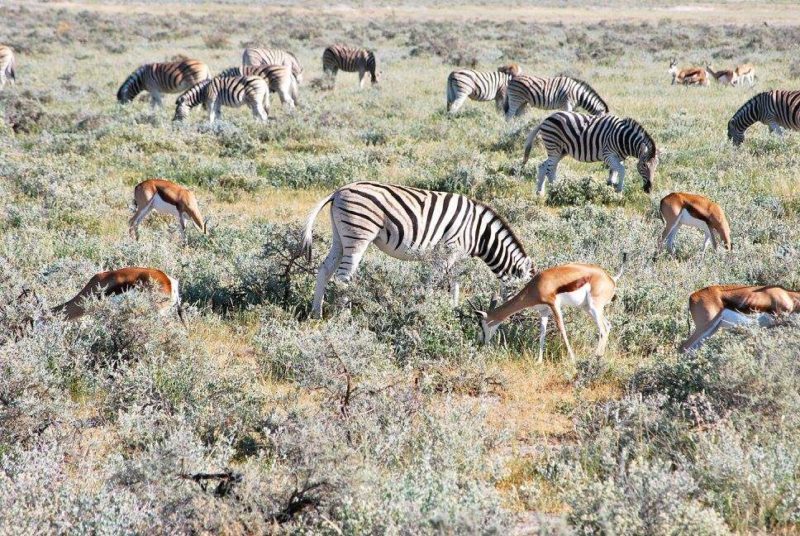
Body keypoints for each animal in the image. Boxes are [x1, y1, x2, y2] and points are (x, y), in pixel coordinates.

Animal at [300, 182, 532, 316]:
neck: (479, 234)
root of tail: (338, 191)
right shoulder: (448, 252)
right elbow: (432, 283)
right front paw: (424, 309)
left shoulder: (458, 257)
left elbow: (455, 283)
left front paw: (453, 309)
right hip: (358, 235)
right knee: (343, 277)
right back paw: (344, 315)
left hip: (340, 237)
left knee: (325, 269)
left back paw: (316, 313)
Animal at [476, 256, 624, 364]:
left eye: (481, 324)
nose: (482, 342)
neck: (536, 286)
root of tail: (611, 278)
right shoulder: (544, 311)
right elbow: (542, 333)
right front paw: (539, 361)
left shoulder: (554, 305)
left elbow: (562, 329)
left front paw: (572, 359)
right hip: (588, 308)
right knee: (608, 326)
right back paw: (599, 358)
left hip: (594, 308)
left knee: (603, 330)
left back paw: (594, 359)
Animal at [520, 111, 660, 197]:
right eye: (644, 165)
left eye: (656, 167)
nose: (649, 189)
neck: (623, 138)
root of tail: (546, 118)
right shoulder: (608, 154)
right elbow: (622, 170)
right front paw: (619, 191)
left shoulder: (617, 158)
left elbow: (614, 172)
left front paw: (610, 188)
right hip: (554, 147)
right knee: (549, 169)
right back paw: (556, 190)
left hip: (561, 151)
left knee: (543, 166)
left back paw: (541, 192)